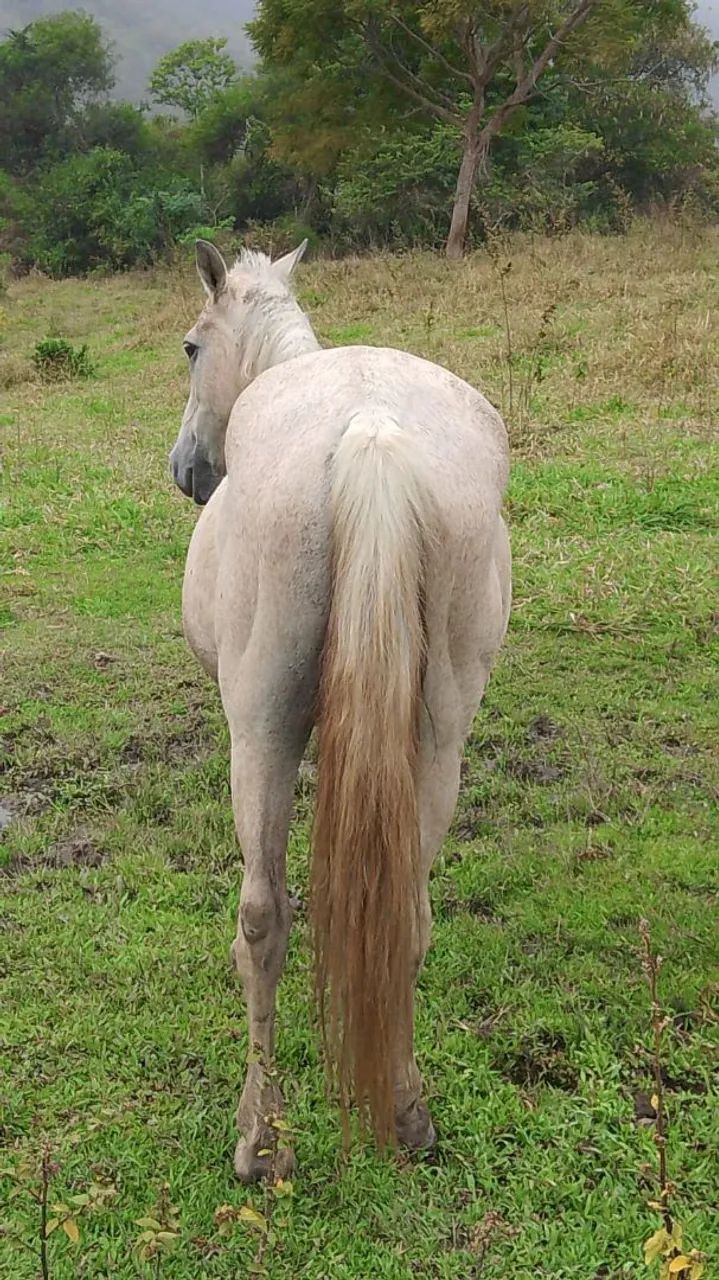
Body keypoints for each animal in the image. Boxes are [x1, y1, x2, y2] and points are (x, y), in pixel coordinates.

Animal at [169, 239, 511, 1181]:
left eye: (191, 347)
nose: (188, 469)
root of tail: (371, 431)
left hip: (260, 732)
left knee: (260, 921)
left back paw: (259, 1138)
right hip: (438, 738)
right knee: (409, 917)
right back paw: (406, 1112)